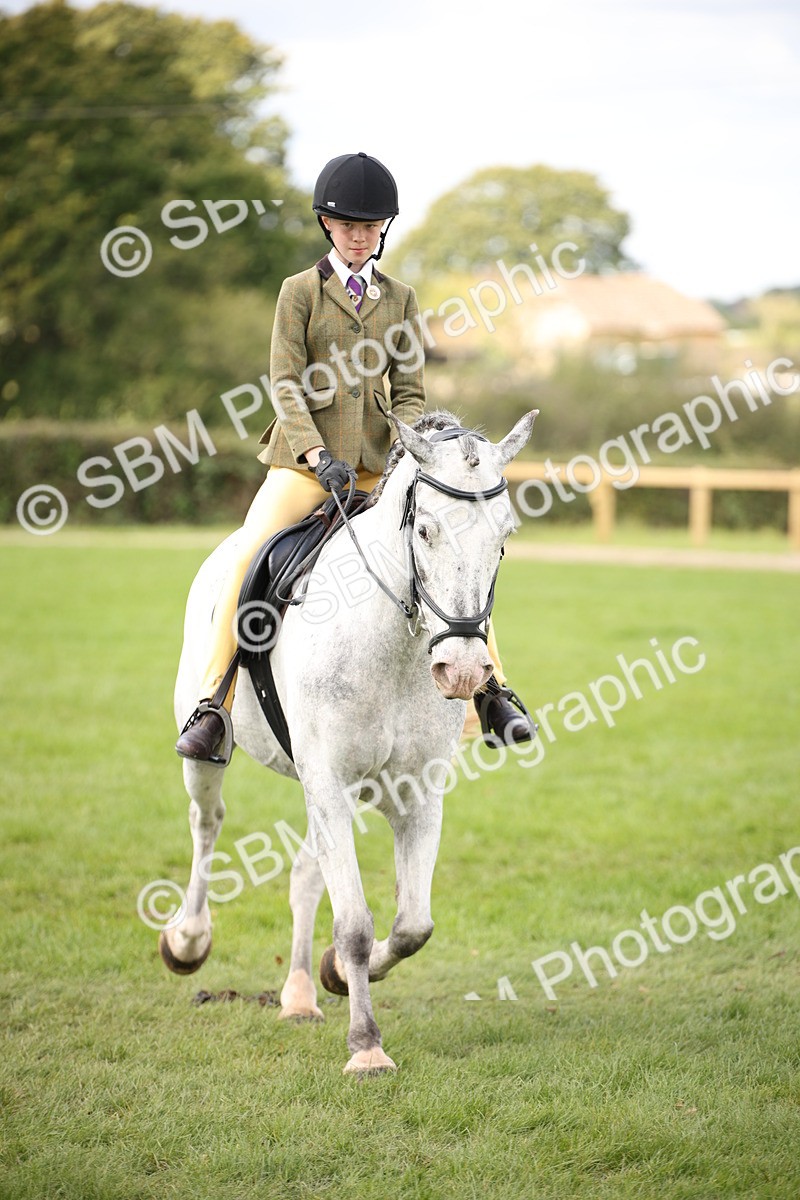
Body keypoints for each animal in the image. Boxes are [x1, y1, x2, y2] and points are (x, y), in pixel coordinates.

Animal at [161, 408, 537, 1073]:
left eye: (505, 535)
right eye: (426, 531)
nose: (465, 672)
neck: (393, 642)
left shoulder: (414, 795)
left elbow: (412, 925)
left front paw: (338, 975)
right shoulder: (331, 783)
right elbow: (358, 925)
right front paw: (366, 1047)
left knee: (306, 876)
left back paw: (300, 995)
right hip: (217, 757)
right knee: (207, 822)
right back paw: (187, 940)